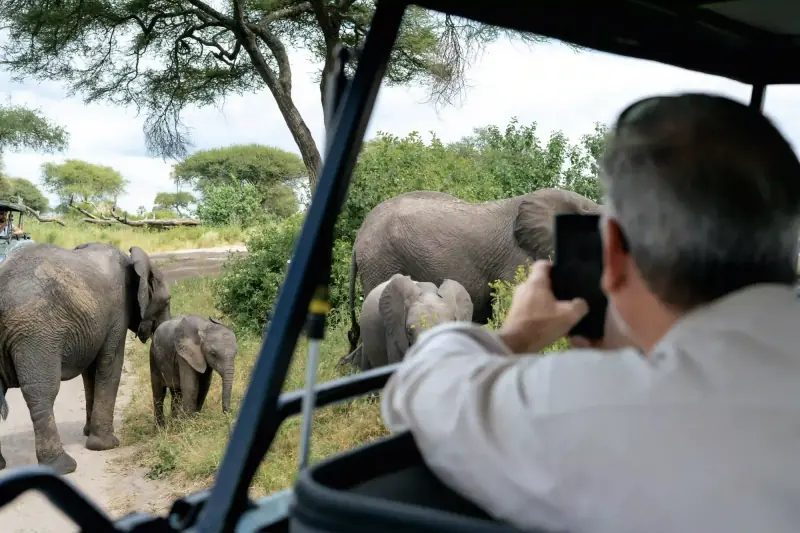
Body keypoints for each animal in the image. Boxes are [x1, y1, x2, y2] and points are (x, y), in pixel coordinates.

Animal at [0, 242, 171, 475]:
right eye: (167, 301)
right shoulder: (118, 311)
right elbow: (110, 364)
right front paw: (106, 445)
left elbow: (90, 373)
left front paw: (89, 432)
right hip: (34, 334)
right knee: (42, 392)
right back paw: (64, 467)